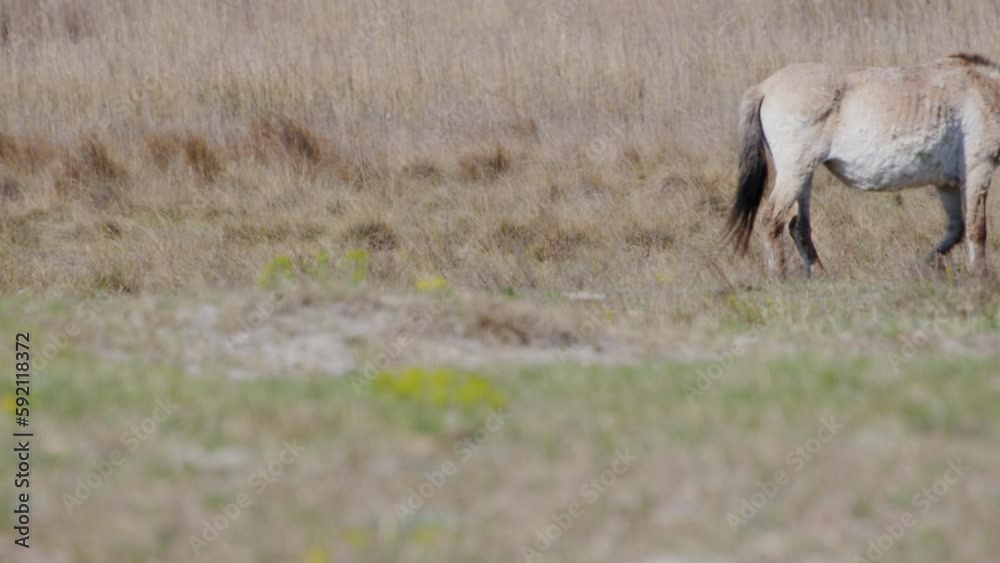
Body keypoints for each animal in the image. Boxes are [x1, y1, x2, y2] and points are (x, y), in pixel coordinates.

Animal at [725, 53, 1000, 277]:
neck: (986, 89)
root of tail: (764, 88)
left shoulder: (947, 183)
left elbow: (958, 228)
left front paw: (927, 264)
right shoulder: (978, 168)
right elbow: (977, 228)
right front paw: (981, 276)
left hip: (804, 174)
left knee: (797, 225)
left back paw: (820, 275)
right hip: (795, 171)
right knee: (772, 218)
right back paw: (780, 276)